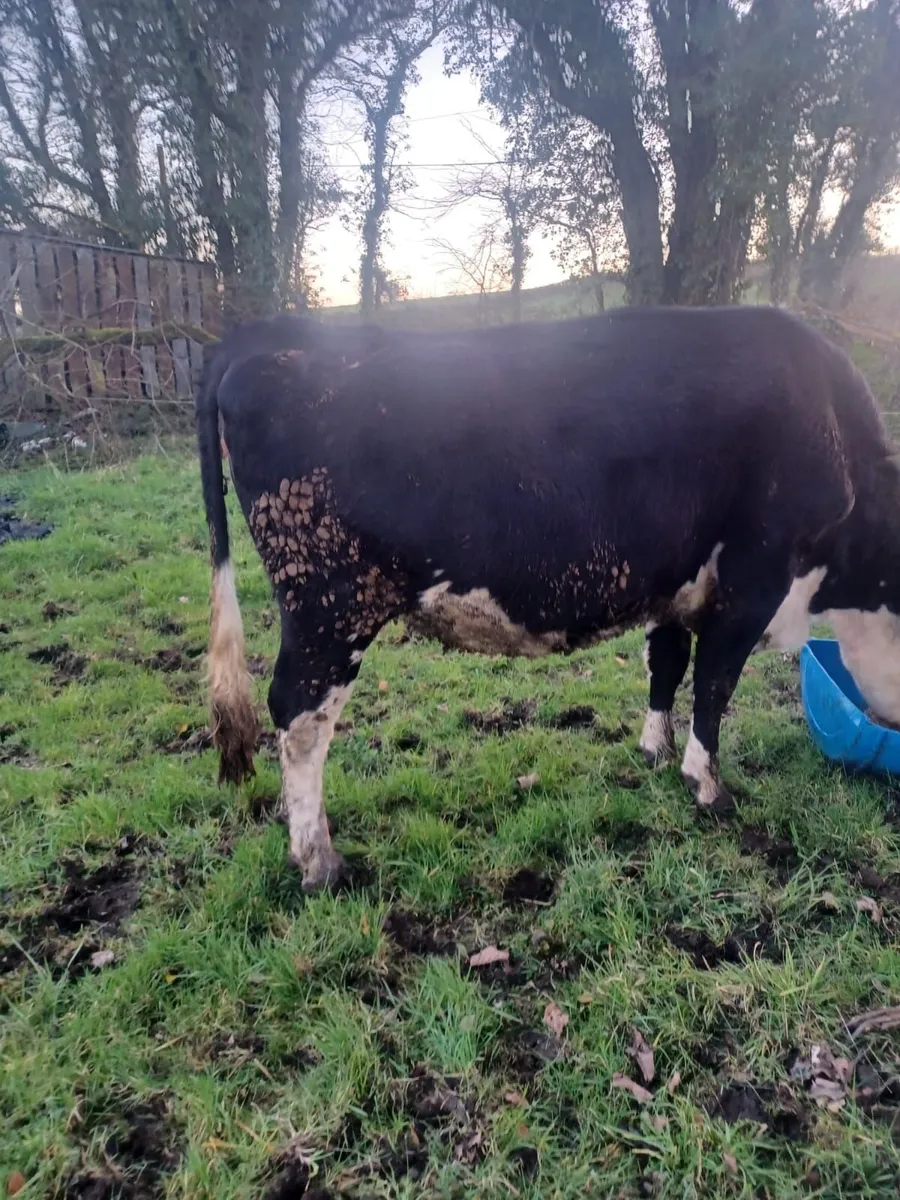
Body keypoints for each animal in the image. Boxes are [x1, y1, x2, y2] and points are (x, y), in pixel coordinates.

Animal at [195, 305, 900, 892]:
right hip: (328, 602)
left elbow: (668, 664)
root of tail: (264, 335)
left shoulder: (676, 580)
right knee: (299, 716)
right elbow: (715, 684)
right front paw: (708, 787)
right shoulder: (755, 576)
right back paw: (319, 860)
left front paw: (654, 749)